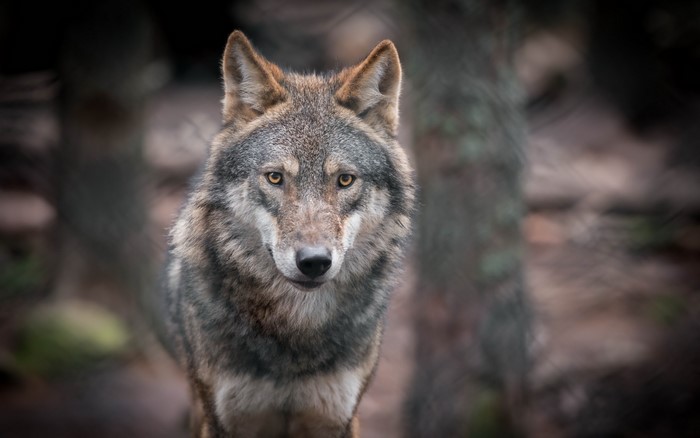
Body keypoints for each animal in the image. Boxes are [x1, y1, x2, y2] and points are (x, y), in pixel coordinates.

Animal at [159, 30, 415, 438]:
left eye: (345, 180)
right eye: (275, 177)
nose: (314, 262)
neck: (296, 329)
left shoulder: (338, 418)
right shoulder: (225, 420)